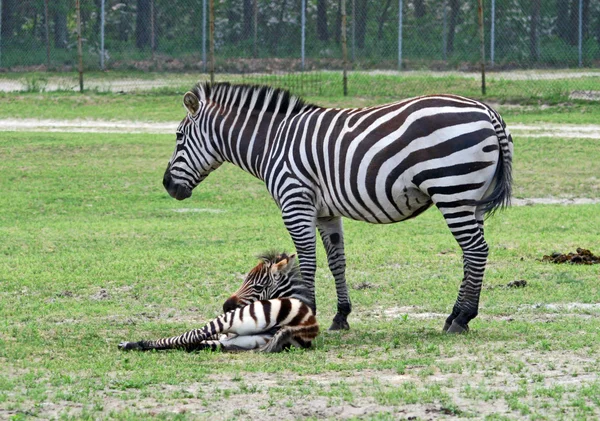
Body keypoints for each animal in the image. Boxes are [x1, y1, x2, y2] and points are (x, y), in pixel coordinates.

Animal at [119, 251, 322, 352]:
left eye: (257, 287)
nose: (226, 306)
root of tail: (303, 326)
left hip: (236, 318)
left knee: (191, 336)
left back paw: (132, 344)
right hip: (247, 338)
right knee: (196, 342)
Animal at [164, 81, 516, 332]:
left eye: (179, 137)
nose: (167, 185)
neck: (272, 143)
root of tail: (488, 111)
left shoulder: (295, 202)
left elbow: (307, 262)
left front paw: (306, 310)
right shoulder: (326, 213)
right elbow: (337, 262)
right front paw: (341, 316)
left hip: (452, 189)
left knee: (475, 250)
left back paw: (462, 318)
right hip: (471, 198)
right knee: (473, 253)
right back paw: (455, 315)